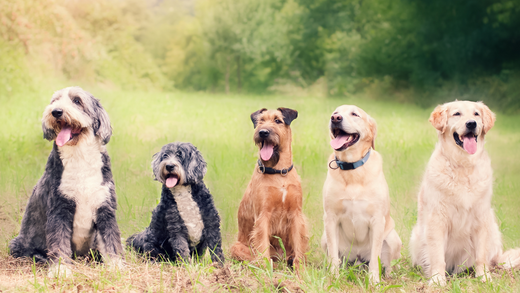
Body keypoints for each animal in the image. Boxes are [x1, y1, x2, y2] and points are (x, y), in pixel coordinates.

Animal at [8, 86, 123, 276]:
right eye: (55, 101)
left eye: (77, 101)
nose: (56, 111)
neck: (79, 156)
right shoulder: (59, 209)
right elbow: (59, 244)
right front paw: (60, 271)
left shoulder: (104, 207)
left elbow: (111, 240)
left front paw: (116, 267)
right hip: (18, 243)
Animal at [232, 106, 308, 266]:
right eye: (261, 121)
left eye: (277, 120)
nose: (263, 132)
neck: (279, 172)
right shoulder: (263, 215)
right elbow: (262, 247)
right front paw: (266, 269)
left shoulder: (296, 214)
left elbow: (299, 248)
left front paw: (301, 270)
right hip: (236, 247)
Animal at [320, 104, 402, 280]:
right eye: (335, 113)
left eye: (354, 114)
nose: (335, 118)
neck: (352, 168)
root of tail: (357, 259)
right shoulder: (330, 217)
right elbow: (333, 255)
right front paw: (334, 277)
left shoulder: (377, 219)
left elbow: (375, 257)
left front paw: (374, 280)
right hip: (325, 238)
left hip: (392, 238)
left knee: (389, 264)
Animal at [410, 100, 520, 286]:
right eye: (457, 114)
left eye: (476, 114)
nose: (471, 124)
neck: (463, 164)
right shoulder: (437, 219)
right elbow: (437, 256)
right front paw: (438, 279)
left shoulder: (481, 218)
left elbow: (481, 256)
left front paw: (484, 277)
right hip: (416, 236)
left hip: (493, 230)